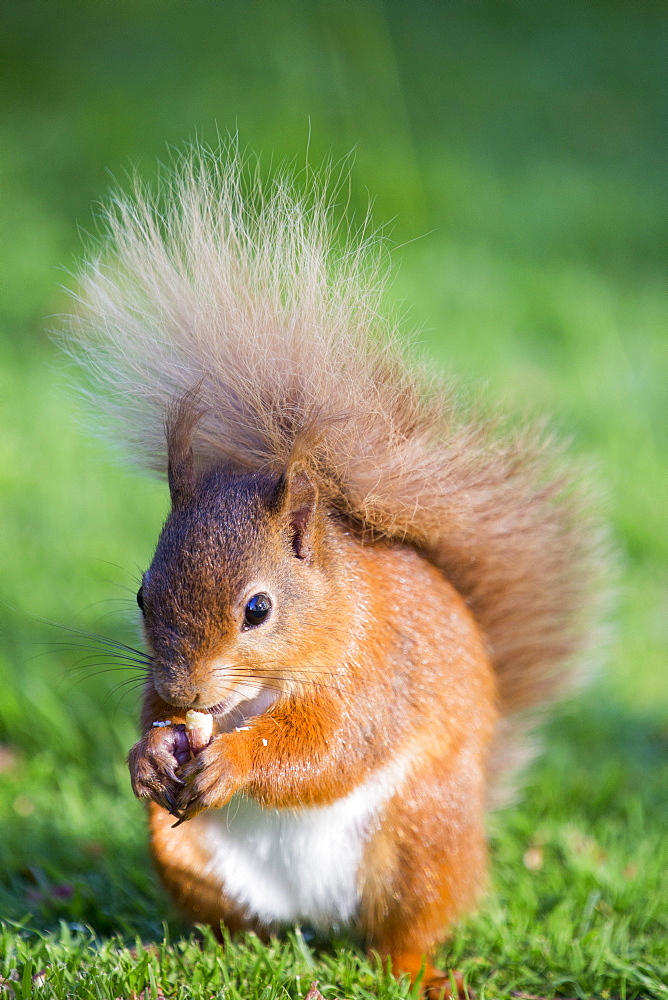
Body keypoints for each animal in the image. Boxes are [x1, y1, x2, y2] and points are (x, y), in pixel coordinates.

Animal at [66, 152, 604, 996]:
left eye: (257, 609)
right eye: (143, 596)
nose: (188, 692)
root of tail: (317, 919)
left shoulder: (376, 669)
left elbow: (331, 748)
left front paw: (239, 760)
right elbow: (152, 717)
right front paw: (147, 753)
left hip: (422, 839)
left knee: (405, 932)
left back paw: (420, 971)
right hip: (184, 853)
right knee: (238, 927)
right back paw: (180, 950)